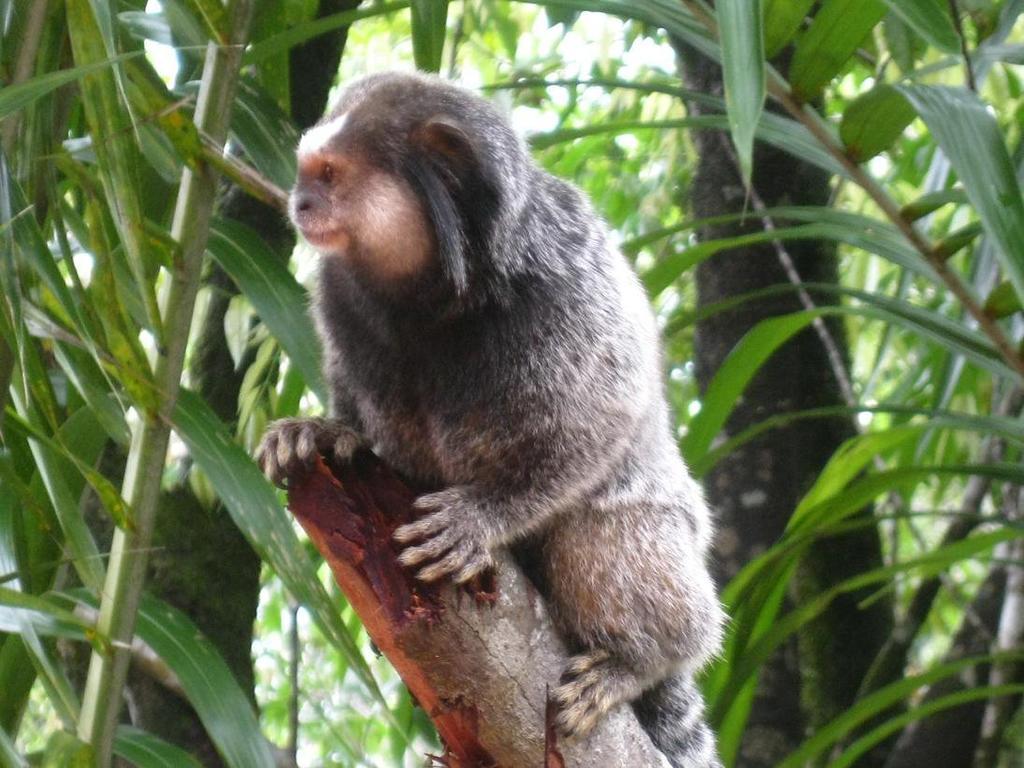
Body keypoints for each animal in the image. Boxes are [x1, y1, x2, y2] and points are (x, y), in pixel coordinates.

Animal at [260, 72, 724, 768]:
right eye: (304, 172)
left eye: (330, 174)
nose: (299, 203)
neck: (432, 293)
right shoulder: (341, 297)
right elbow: (358, 407)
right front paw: (324, 432)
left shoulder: (566, 288)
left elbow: (602, 418)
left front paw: (481, 515)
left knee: (603, 533)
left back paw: (636, 660)